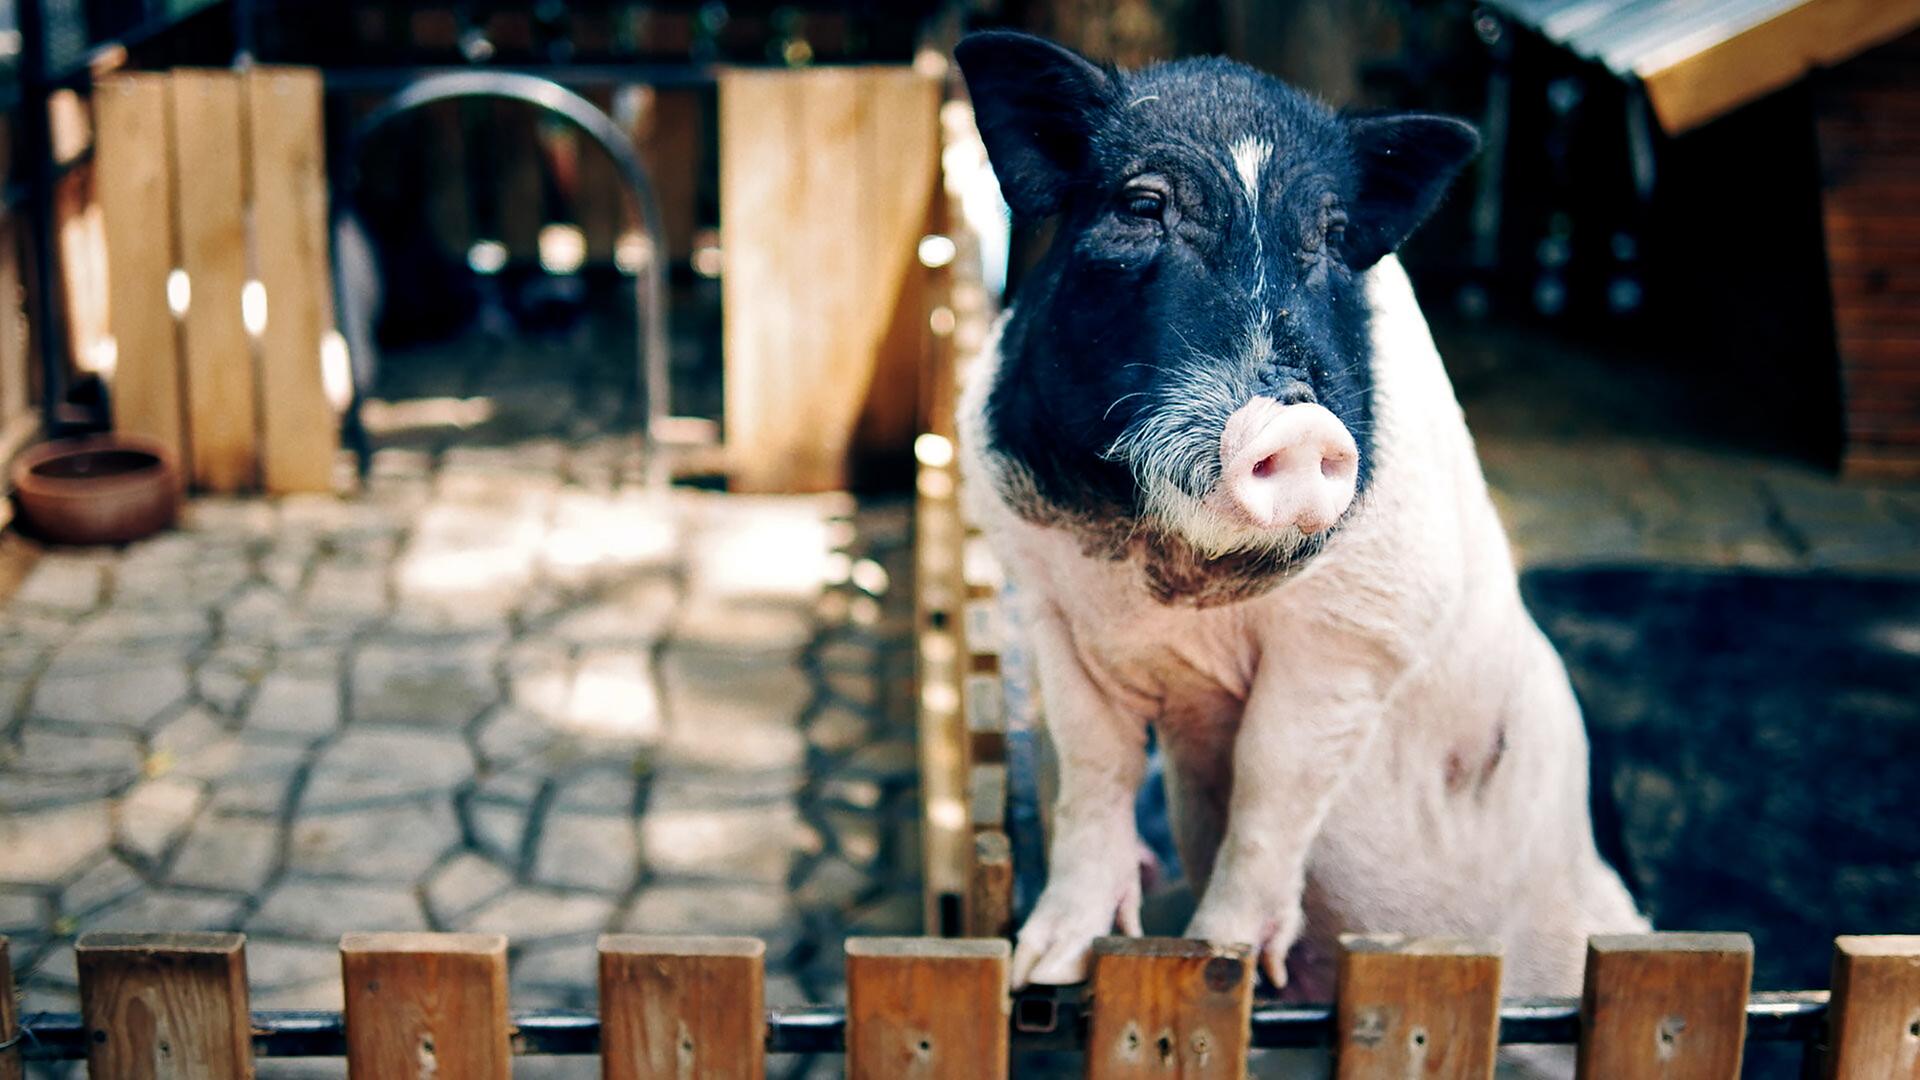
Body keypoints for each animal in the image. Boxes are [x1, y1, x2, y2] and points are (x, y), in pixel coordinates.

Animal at [952, 28, 1648, 1016]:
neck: (1170, 587)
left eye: (1327, 234)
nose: (1297, 422)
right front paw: (1041, 970)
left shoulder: (1358, 631)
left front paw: (1216, 959)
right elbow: (1095, 768)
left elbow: (1269, 779)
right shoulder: (1049, 599)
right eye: (1141, 204)